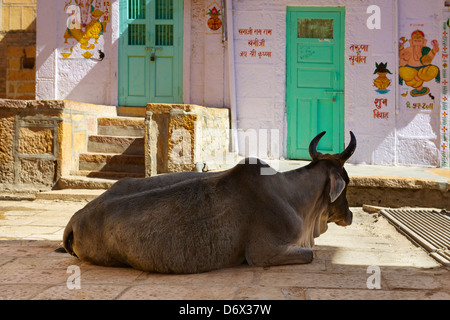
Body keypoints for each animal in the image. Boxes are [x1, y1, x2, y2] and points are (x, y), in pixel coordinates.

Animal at [63, 131, 356, 274]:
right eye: (347, 180)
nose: (350, 215)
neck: (293, 197)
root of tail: (75, 219)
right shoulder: (264, 253)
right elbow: (310, 254)